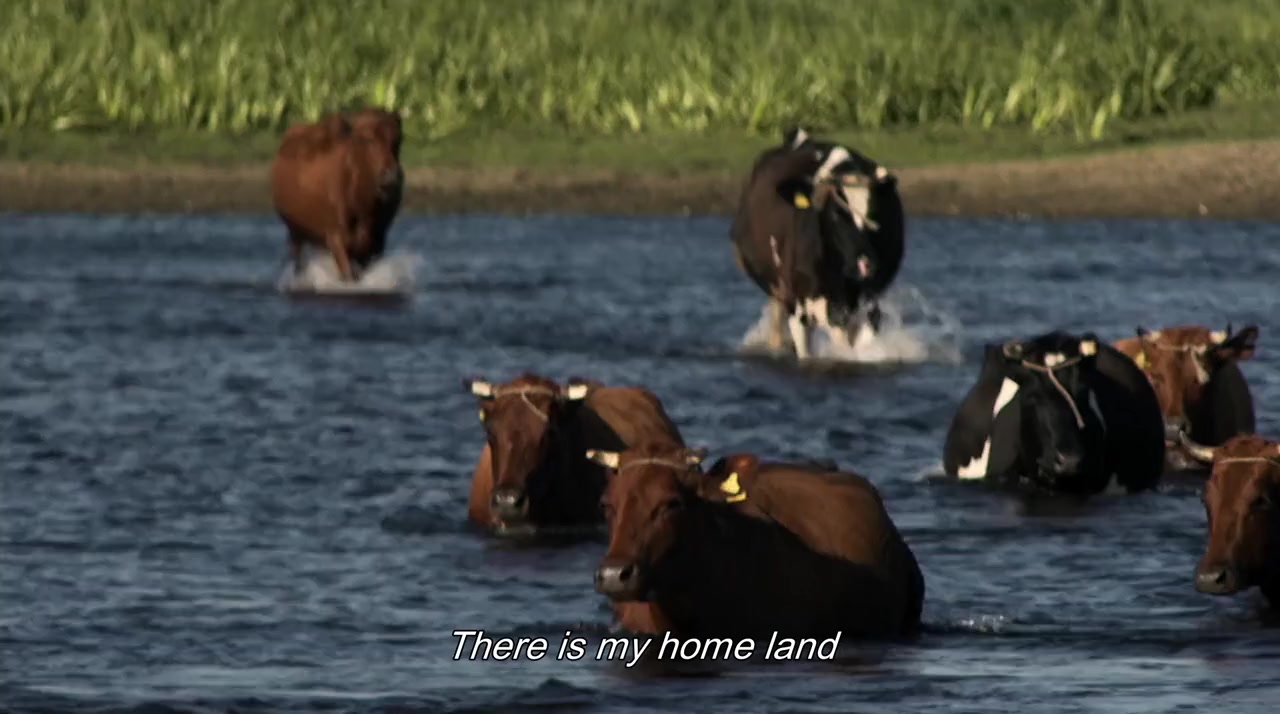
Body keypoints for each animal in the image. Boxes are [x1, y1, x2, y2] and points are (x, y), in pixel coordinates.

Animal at [270, 106, 404, 282]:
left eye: (399, 139)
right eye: (368, 139)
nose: (391, 177)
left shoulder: (377, 242)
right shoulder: (336, 239)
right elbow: (348, 275)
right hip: (295, 234)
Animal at [728, 127, 905, 360]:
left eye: (876, 212)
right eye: (836, 214)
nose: (864, 264)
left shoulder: (868, 304)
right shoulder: (798, 306)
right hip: (779, 289)